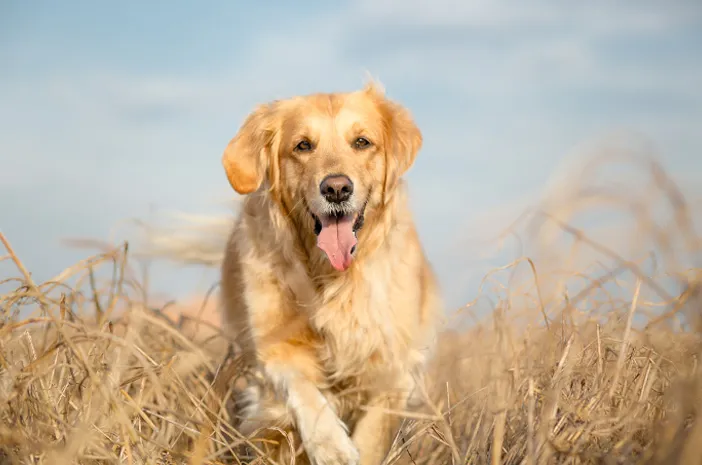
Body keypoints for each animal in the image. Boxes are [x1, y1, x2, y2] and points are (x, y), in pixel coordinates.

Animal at [220, 80, 442, 464]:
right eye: (303, 145)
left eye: (362, 142)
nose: (336, 188)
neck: (331, 276)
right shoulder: (275, 349)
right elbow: (304, 390)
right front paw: (330, 445)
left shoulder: (394, 368)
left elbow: (374, 434)